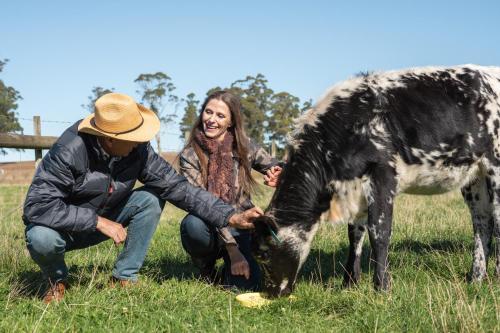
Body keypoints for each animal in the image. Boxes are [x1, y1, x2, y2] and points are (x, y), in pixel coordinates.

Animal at [252, 64, 500, 296]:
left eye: (264, 254)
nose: (271, 293)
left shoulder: (382, 175)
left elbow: (378, 231)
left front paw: (381, 287)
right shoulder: (355, 188)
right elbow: (355, 234)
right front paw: (349, 283)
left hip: (495, 167)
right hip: (474, 178)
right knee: (482, 223)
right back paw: (476, 279)